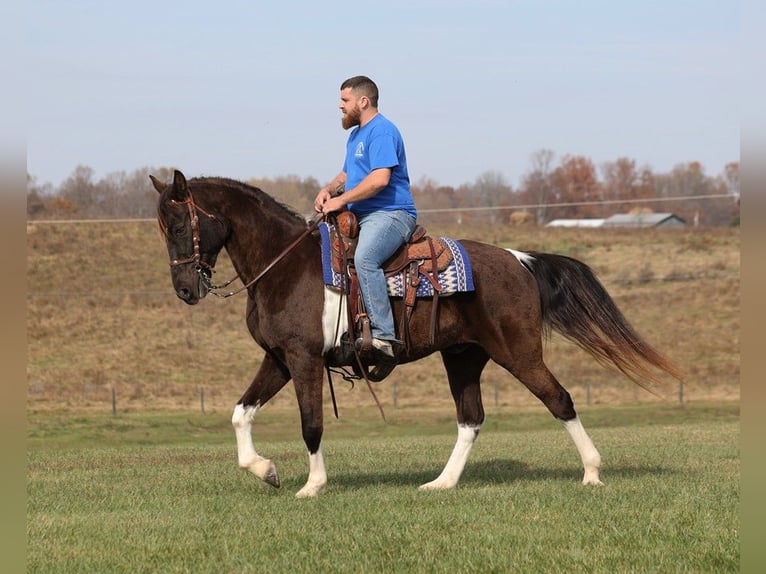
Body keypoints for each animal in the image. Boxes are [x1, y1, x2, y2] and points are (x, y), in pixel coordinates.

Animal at [152, 170, 684, 500]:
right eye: (162, 228)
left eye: (179, 224)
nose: (184, 289)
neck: (284, 264)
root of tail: (519, 259)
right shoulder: (278, 358)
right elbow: (240, 413)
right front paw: (266, 470)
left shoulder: (304, 359)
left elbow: (311, 425)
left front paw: (312, 485)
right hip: (464, 356)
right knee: (471, 418)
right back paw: (441, 484)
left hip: (519, 353)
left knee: (561, 400)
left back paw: (592, 472)